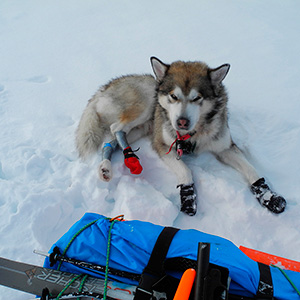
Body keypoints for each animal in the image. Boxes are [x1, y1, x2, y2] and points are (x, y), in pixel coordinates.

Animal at [75, 56, 286, 216]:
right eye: (174, 96)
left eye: (197, 98)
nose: (181, 122)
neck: (194, 134)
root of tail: (105, 87)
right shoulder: (163, 146)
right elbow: (186, 171)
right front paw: (188, 195)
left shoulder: (225, 147)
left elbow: (252, 170)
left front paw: (268, 196)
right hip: (146, 102)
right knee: (115, 127)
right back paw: (125, 158)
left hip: (142, 128)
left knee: (111, 141)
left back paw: (109, 165)